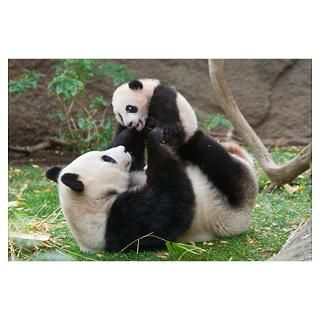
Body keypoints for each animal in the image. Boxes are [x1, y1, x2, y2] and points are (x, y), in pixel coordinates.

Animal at [45, 127, 258, 252]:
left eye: (104, 154)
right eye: (107, 159)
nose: (123, 150)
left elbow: (138, 162)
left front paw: (133, 130)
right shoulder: (121, 220)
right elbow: (172, 207)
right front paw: (154, 138)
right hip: (231, 204)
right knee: (220, 164)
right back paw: (195, 137)